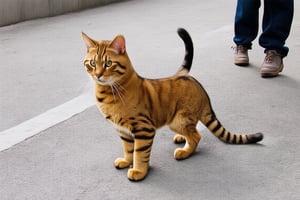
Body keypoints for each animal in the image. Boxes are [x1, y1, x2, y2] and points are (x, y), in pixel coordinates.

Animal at [81, 28, 262, 181]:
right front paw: (126, 161)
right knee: (193, 130)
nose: (97, 75)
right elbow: (128, 148)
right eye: (92, 63)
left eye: (108, 64)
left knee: (197, 136)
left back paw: (184, 152)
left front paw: (139, 171)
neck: (110, 90)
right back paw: (182, 138)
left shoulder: (143, 128)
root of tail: (193, 80)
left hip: (178, 119)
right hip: (182, 120)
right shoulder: (122, 130)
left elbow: (140, 153)